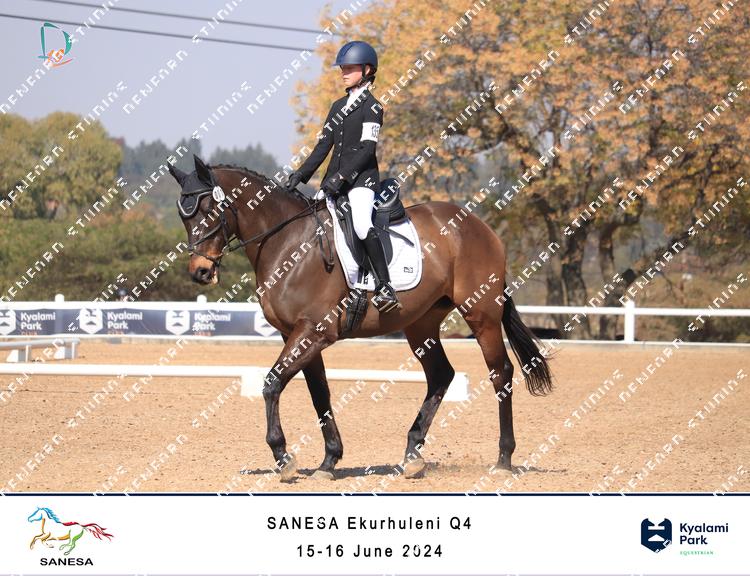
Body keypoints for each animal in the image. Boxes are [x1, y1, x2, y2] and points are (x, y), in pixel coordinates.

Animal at [168, 154, 553, 482]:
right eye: (183, 215)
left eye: (208, 208)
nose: (200, 272)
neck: (287, 242)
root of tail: (477, 224)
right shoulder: (297, 335)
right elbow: (319, 393)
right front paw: (328, 461)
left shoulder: (313, 332)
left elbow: (272, 384)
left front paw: (284, 458)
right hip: (421, 323)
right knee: (441, 375)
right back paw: (412, 456)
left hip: (481, 314)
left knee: (501, 372)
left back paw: (503, 459)